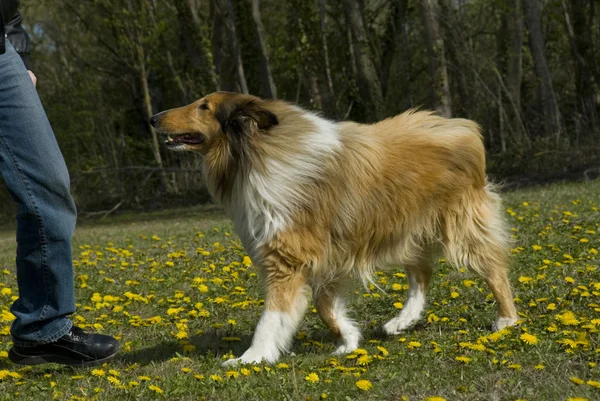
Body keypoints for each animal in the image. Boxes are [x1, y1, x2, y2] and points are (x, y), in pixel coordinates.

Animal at [149, 91, 516, 366]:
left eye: (204, 106)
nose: (152, 118)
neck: (257, 152)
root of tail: (462, 127)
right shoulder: (327, 257)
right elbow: (325, 306)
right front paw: (349, 339)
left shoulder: (287, 257)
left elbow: (272, 316)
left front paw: (251, 358)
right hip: (404, 230)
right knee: (422, 274)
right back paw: (402, 320)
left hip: (460, 228)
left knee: (493, 269)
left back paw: (507, 320)